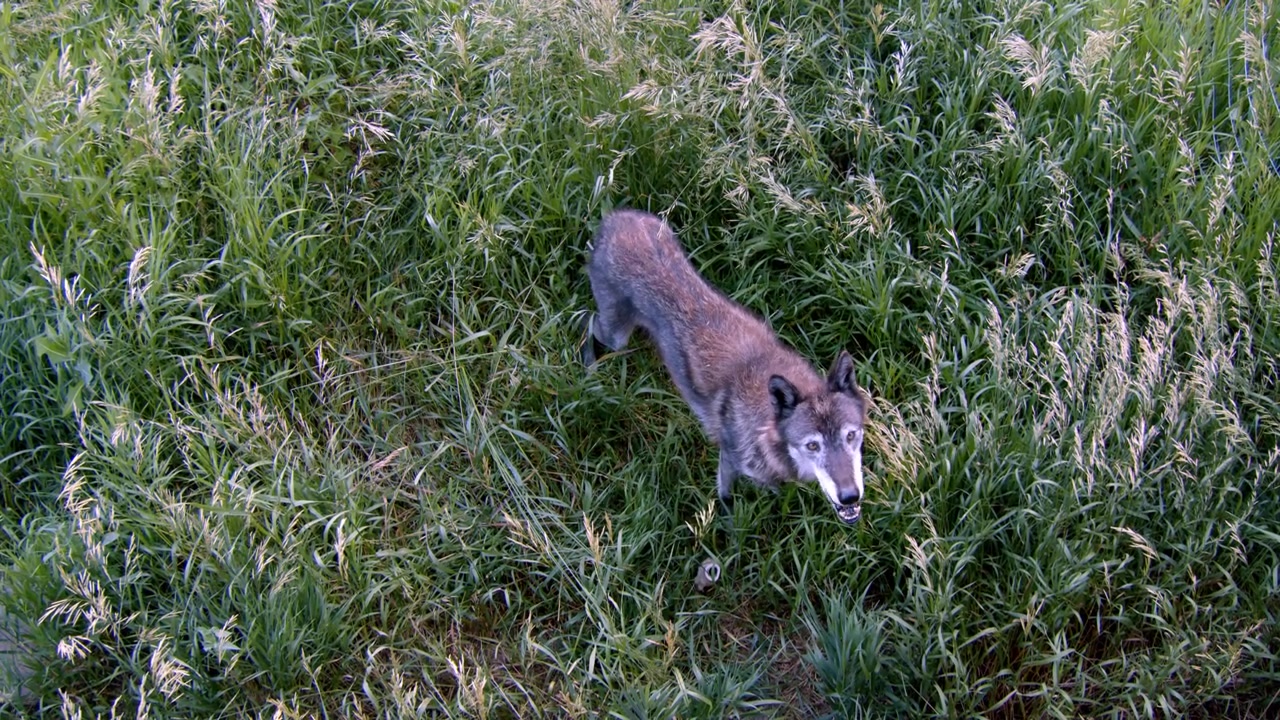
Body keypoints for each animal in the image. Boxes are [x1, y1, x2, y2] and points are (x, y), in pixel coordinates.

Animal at [582, 209, 869, 524]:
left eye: (850, 436)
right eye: (813, 445)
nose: (850, 496)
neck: (764, 426)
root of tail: (614, 217)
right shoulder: (729, 458)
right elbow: (726, 495)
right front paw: (729, 522)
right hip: (616, 337)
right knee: (587, 321)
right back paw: (589, 368)